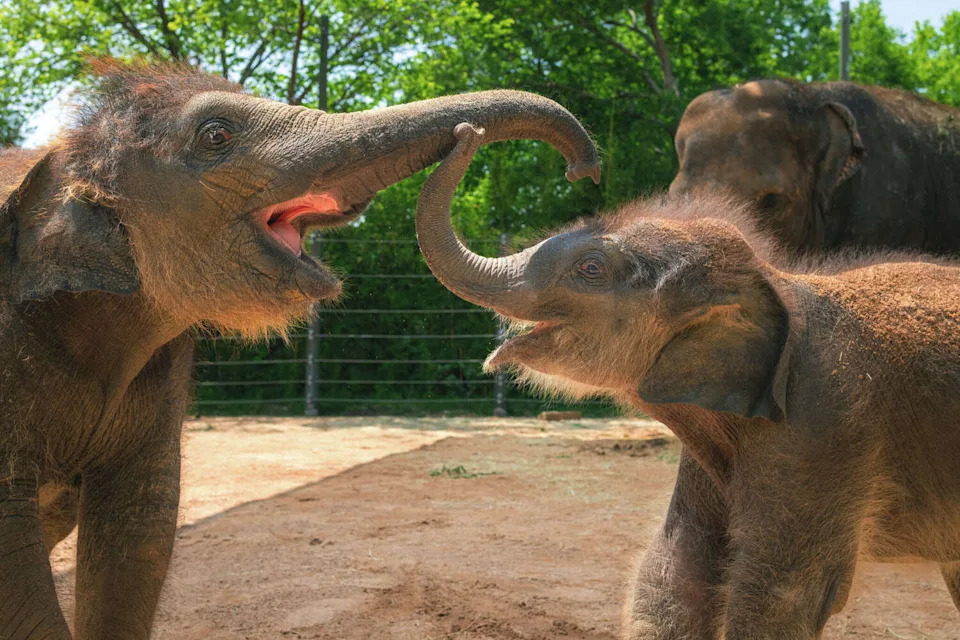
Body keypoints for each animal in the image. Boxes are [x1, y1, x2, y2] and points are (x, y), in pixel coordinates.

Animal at [416, 122, 960, 639]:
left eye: (591, 268)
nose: (468, 131)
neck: (775, 280)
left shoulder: (827, 429)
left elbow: (780, 595)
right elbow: (676, 571)